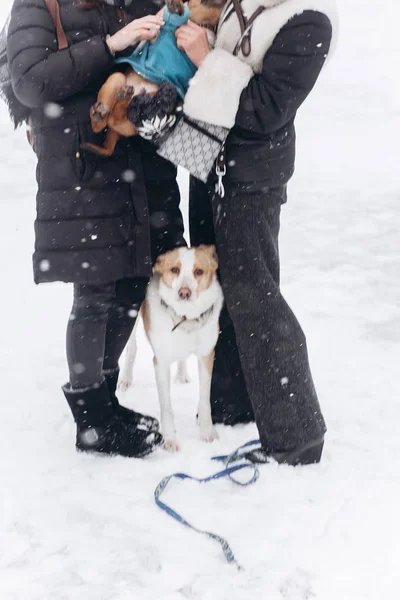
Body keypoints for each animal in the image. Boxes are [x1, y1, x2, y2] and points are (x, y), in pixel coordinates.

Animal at [82, 0, 225, 157]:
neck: (202, 25)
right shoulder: (156, 33)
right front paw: (176, 6)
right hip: (117, 78)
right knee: (104, 124)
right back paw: (101, 113)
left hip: (134, 118)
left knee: (114, 121)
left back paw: (119, 101)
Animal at [119, 246, 225, 452]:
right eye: (175, 269)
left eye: (198, 271)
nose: (184, 292)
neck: (186, 318)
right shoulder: (160, 362)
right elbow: (166, 406)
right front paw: (169, 439)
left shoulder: (206, 356)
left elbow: (204, 400)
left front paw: (207, 433)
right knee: (131, 347)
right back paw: (125, 378)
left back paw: (182, 374)